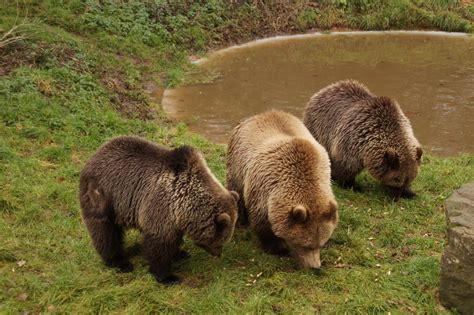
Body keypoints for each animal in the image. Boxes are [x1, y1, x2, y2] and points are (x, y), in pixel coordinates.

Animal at [80, 137, 241, 286]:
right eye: (220, 240)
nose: (218, 254)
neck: (185, 201)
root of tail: (95, 154)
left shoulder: (174, 217)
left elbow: (173, 239)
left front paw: (180, 253)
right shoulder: (160, 206)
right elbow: (158, 245)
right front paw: (168, 277)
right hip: (104, 197)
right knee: (105, 232)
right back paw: (119, 262)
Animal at [226, 110, 336, 270]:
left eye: (320, 244)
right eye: (306, 245)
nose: (315, 266)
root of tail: (260, 115)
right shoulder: (263, 190)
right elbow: (262, 222)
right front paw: (277, 248)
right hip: (237, 163)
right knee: (236, 189)